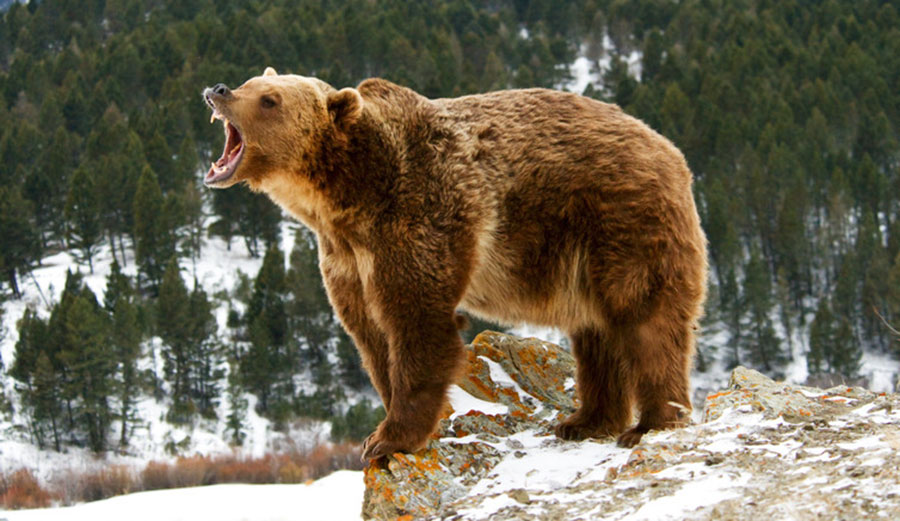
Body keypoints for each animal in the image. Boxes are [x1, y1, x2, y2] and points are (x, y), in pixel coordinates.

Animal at [203, 67, 707, 460]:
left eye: (270, 99)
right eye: (252, 82)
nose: (219, 89)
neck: (347, 197)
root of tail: (671, 150)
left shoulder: (420, 214)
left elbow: (418, 323)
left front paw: (388, 439)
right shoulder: (345, 258)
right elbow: (370, 336)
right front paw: (385, 425)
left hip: (622, 220)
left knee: (646, 319)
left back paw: (651, 423)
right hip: (582, 256)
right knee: (596, 332)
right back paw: (585, 420)